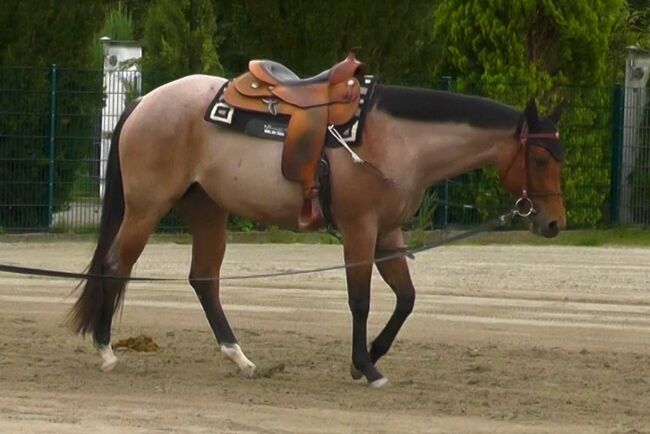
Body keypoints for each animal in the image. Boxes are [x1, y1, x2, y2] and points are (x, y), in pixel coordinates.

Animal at [67, 73, 560, 388]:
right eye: (539, 159)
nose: (555, 223)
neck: (398, 140)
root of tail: (144, 102)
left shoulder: (389, 234)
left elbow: (406, 298)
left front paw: (370, 358)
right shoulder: (361, 230)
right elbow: (360, 301)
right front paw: (367, 367)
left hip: (207, 209)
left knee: (204, 279)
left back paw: (240, 358)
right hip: (146, 207)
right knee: (115, 263)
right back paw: (106, 350)